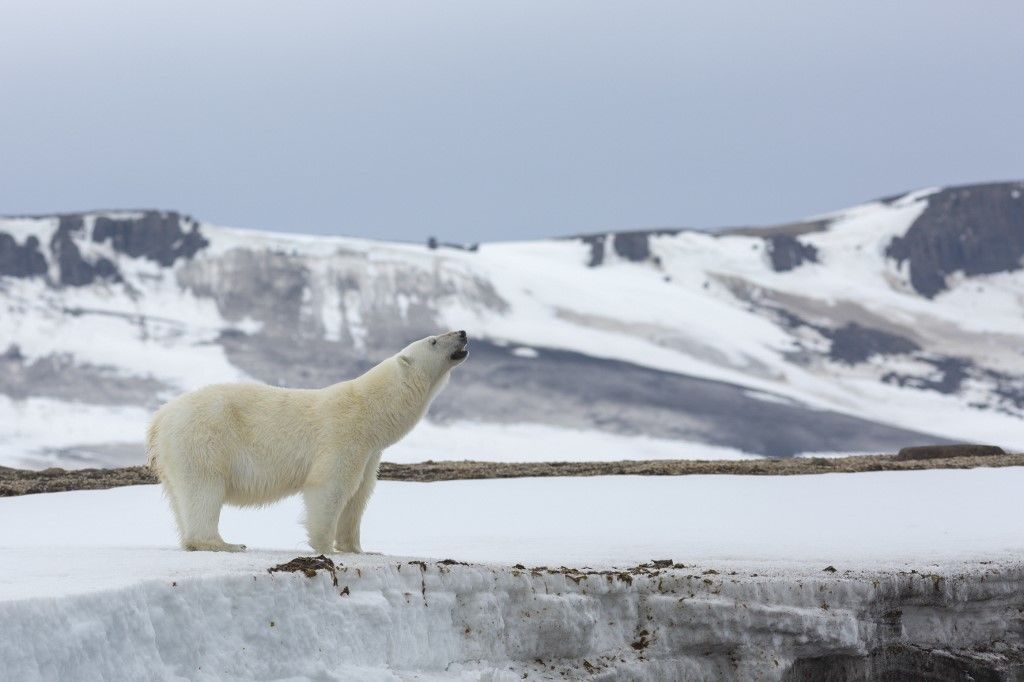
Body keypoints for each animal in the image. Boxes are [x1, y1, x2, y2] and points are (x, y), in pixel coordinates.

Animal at [147, 329, 468, 552]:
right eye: (433, 341)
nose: (462, 333)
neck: (370, 412)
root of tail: (160, 418)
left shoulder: (369, 454)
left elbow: (359, 496)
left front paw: (358, 549)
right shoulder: (343, 436)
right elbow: (330, 487)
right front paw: (326, 549)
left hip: (173, 454)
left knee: (180, 497)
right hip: (203, 438)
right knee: (204, 489)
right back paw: (223, 543)